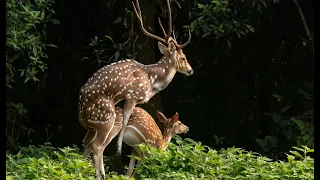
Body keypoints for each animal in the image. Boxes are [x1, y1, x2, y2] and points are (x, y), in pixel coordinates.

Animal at [77, 0, 192, 178]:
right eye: (183, 58)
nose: (191, 70)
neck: (152, 81)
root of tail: (81, 114)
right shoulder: (132, 95)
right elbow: (125, 122)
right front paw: (120, 150)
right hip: (105, 117)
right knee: (97, 145)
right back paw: (101, 174)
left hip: (93, 127)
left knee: (86, 143)